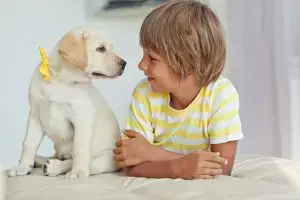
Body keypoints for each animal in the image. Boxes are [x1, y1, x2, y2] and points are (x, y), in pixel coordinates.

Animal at [7, 26, 125, 178]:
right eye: (101, 49)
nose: (124, 64)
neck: (61, 81)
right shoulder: (35, 115)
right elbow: (28, 143)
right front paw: (22, 166)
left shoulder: (82, 118)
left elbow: (79, 148)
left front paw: (78, 171)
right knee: (56, 155)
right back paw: (38, 160)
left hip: (105, 160)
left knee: (79, 161)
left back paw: (54, 167)